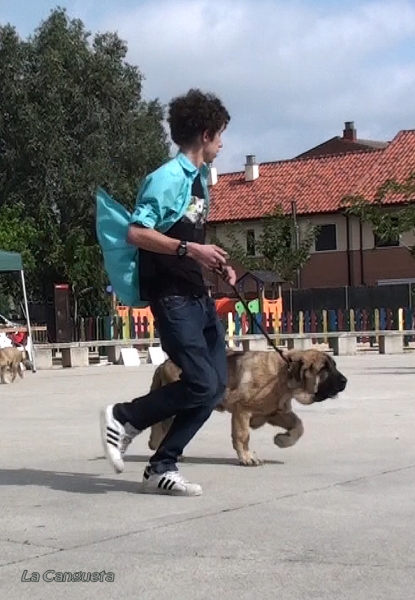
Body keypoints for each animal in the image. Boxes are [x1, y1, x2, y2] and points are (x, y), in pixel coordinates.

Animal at [148, 350, 350, 466]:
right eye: (324, 369)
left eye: (334, 366)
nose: (345, 381)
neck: (283, 376)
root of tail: (163, 364)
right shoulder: (242, 411)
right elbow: (243, 435)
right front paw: (247, 457)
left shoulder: (274, 412)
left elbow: (299, 426)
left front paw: (282, 440)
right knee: (165, 424)